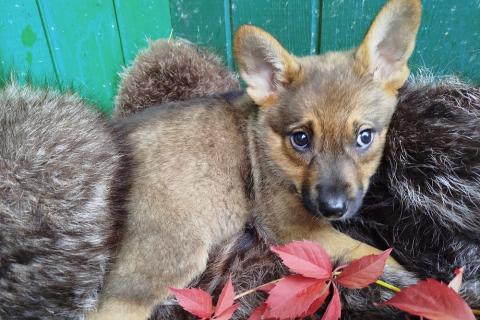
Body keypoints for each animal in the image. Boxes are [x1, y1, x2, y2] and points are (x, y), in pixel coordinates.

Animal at [90, 0, 420, 318]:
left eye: (364, 137)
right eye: (301, 139)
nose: (333, 208)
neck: (268, 146)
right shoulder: (296, 229)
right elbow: (373, 253)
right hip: (170, 255)